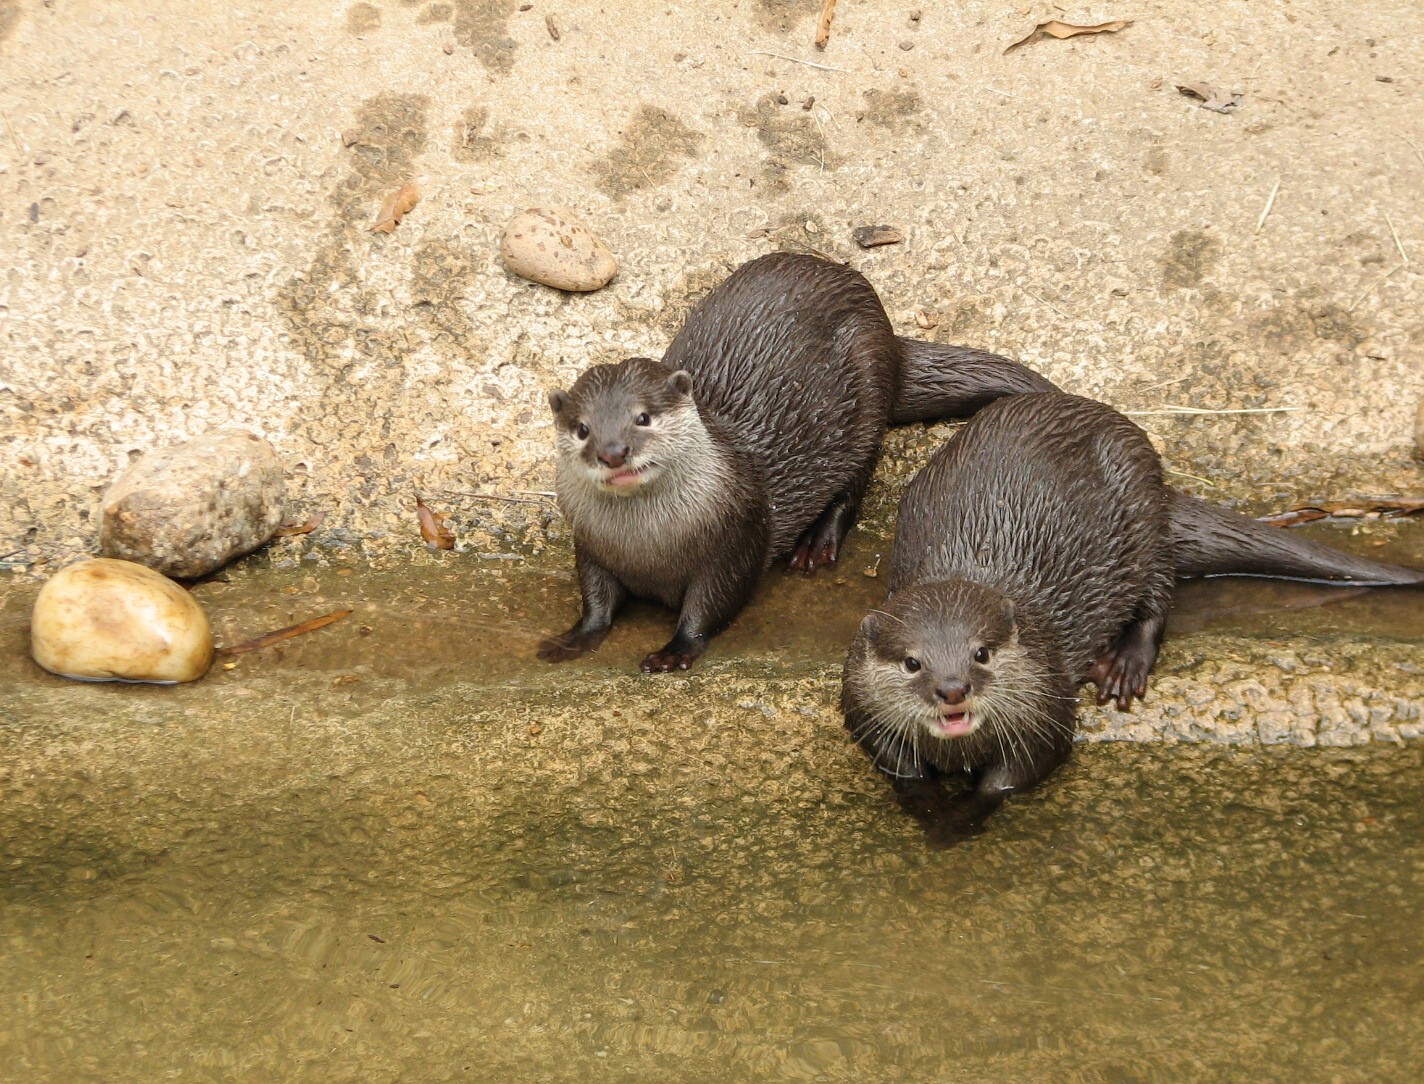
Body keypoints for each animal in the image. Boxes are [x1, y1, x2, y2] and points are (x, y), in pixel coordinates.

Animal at [841, 392, 1422, 846]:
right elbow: (902, 771)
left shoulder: (1048, 705)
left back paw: (1124, 664)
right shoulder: (863, 708)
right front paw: (931, 811)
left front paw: (961, 818)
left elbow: (1010, 779)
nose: (953, 688)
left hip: (1143, 513)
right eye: (913, 663)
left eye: (981, 653)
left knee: (1158, 599)